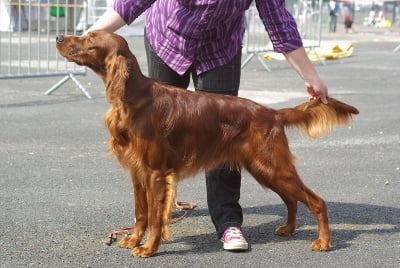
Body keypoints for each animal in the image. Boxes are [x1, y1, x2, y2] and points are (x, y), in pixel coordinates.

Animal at [56, 29, 360, 258]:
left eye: (90, 40)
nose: (58, 37)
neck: (133, 97)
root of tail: (272, 113)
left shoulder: (155, 173)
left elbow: (154, 216)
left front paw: (148, 249)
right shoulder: (137, 171)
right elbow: (141, 212)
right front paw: (133, 239)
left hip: (273, 166)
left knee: (316, 201)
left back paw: (323, 242)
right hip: (264, 169)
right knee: (292, 200)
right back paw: (288, 228)